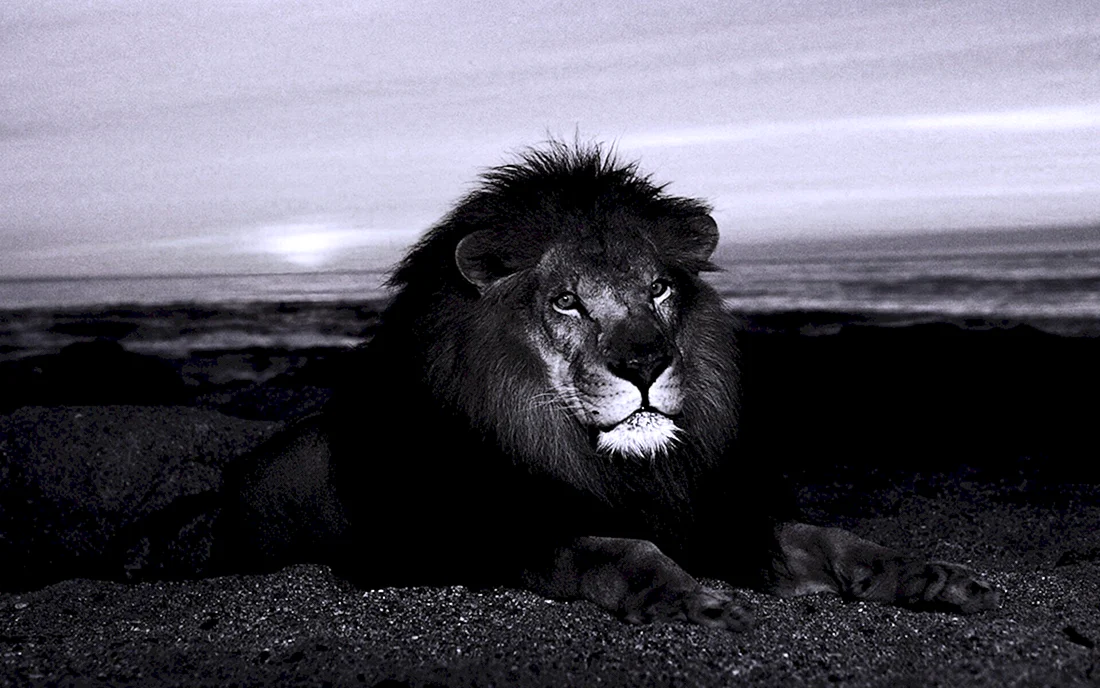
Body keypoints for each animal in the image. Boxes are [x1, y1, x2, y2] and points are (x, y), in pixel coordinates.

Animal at [224, 142, 1000, 630]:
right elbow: (619, 549)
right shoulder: (496, 542)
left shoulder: (719, 519)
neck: (617, 469)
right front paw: (699, 603)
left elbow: (835, 538)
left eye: (657, 289)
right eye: (567, 302)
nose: (646, 366)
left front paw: (934, 577)